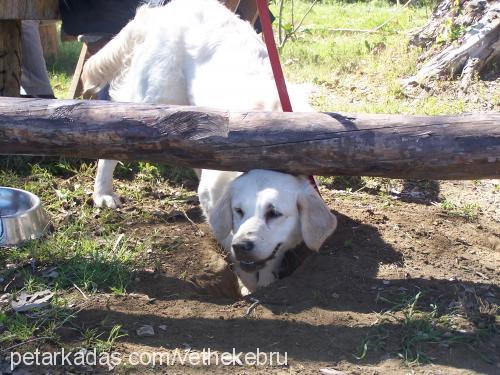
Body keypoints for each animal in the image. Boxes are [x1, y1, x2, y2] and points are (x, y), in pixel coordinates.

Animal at [82, 0, 338, 294]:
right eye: (239, 210)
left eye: (274, 213)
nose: (243, 245)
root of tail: (159, 11)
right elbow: (231, 244)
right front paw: (249, 287)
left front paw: (265, 280)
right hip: (153, 99)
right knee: (112, 140)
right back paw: (103, 192)